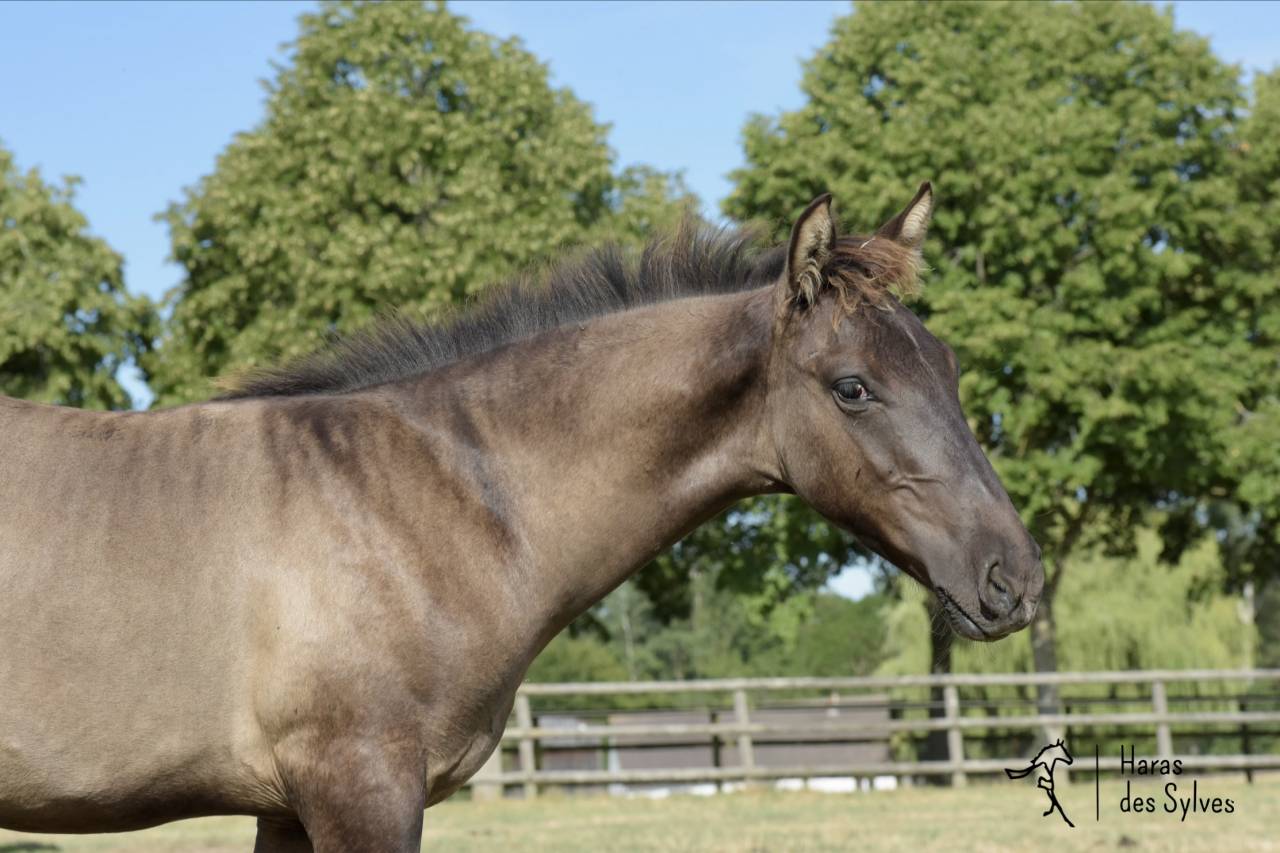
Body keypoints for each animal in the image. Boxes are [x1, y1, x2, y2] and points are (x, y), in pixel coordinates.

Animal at [0, 184, 1044, 851]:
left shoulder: (290, 807)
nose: (1015, 578)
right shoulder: (359, 790)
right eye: (853, 386)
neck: (415, 502)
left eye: (949, 368)